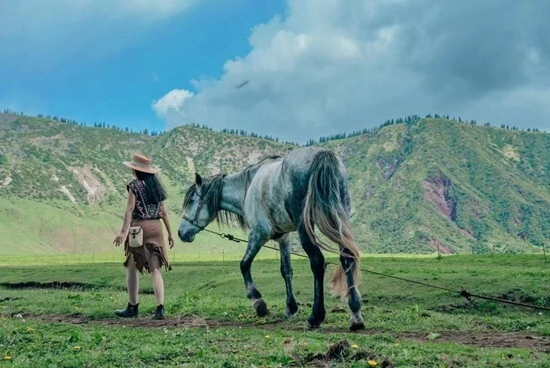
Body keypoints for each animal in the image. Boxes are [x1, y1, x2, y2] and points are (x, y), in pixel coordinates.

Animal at [178, 146, 366, 330]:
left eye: (192, 200)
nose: (181, 232)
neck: (248, 187)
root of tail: (322, 155)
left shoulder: (258, 233)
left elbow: (244, 264)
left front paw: (258, 302)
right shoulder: (284, 238)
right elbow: (286, 270)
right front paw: (291, 308)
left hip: (305, 228)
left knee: (317, 262)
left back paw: (315, 316)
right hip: (339, 219)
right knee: (347, 257)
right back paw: (355, 314)